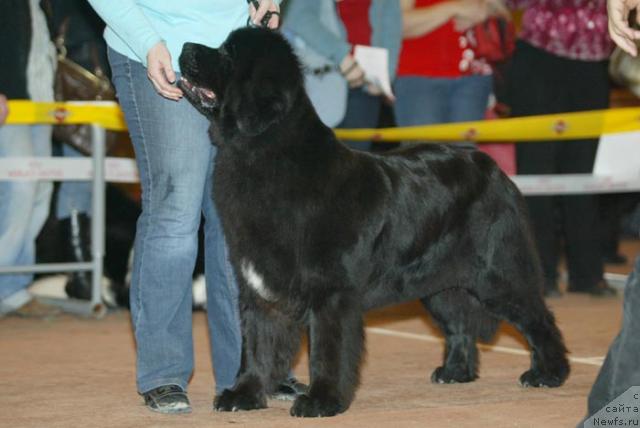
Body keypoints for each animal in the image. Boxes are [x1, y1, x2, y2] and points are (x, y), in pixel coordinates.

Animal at [176, 27, 568, 418]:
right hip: (439, 284)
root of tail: (494, 168)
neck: (264, 152)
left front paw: (322, 400)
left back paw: (547, 373)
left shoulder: (332, 291)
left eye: (228, 53)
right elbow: (257, 343)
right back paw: (455, 372)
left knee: (538, 317)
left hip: (497, 273)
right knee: (459, 322)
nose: (184, 46)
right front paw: (243, 394)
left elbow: (328, 348)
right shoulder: (259, 286)